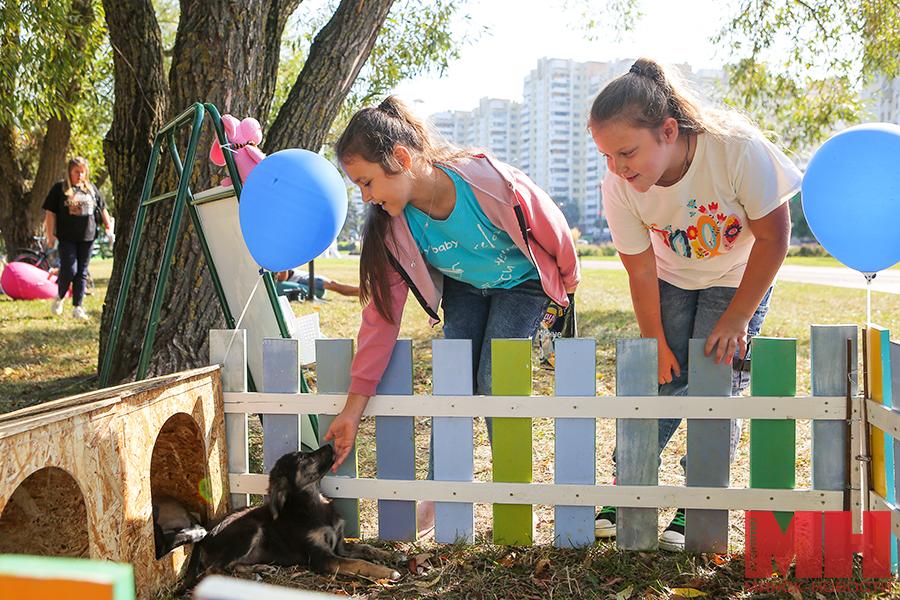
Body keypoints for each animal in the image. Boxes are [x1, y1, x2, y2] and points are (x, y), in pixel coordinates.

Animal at [180, 446, 404, 592]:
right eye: (303, 457)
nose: (330, 444)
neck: (314, 504)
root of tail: (205, 533)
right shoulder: (321, 558)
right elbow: (359, 563)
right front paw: (387, 571)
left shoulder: (339, 545)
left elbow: (366, 549)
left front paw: (393, 555)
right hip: (249, 529)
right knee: (214, 568)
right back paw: (250, 574)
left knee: (229, 564)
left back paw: (260, 568)